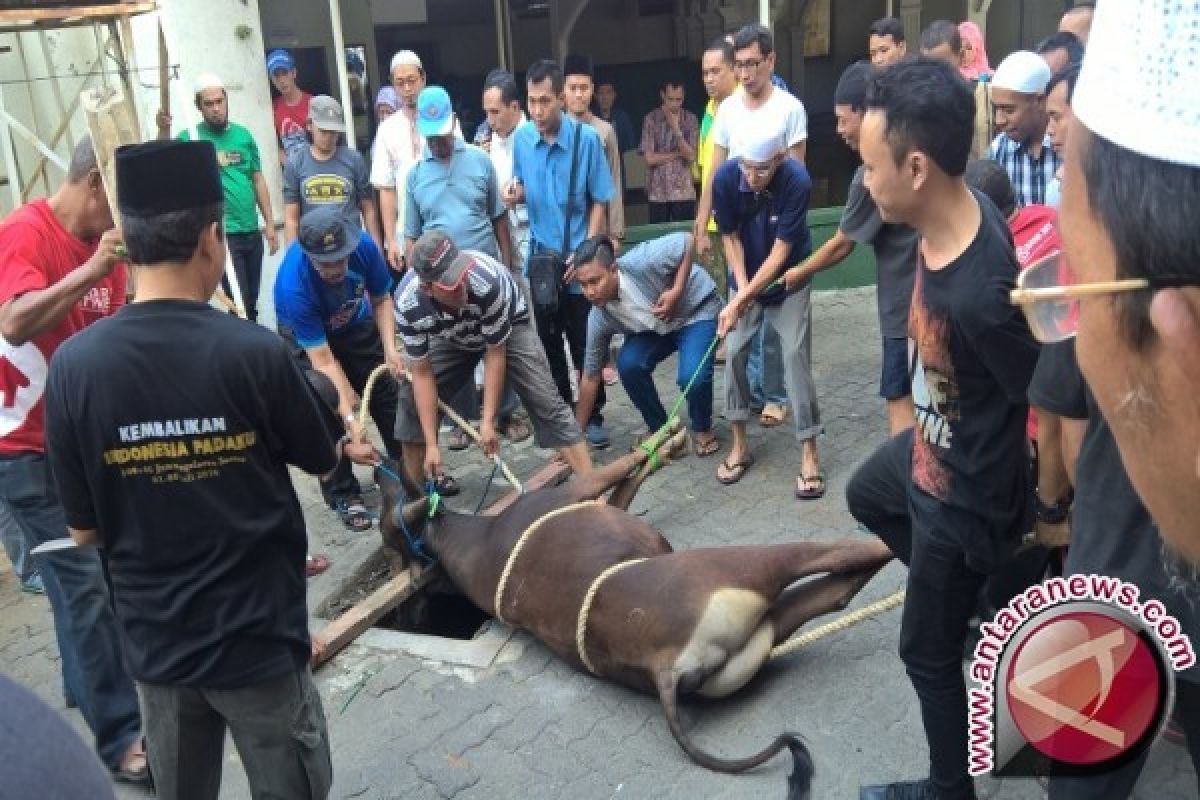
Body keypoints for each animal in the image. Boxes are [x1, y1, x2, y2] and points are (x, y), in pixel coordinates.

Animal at [374, 422, 892, 796]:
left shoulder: (612, 511)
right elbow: (625, 464)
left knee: (838, 593)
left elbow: (633, 477)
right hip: (741, 569)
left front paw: (670, 442)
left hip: (762, 632)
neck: (470, 541)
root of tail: (665, 670)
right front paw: (670, 435)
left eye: (391, 501)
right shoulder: (574, 491)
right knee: (835, 557)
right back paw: (889, 538)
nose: (380, 464)